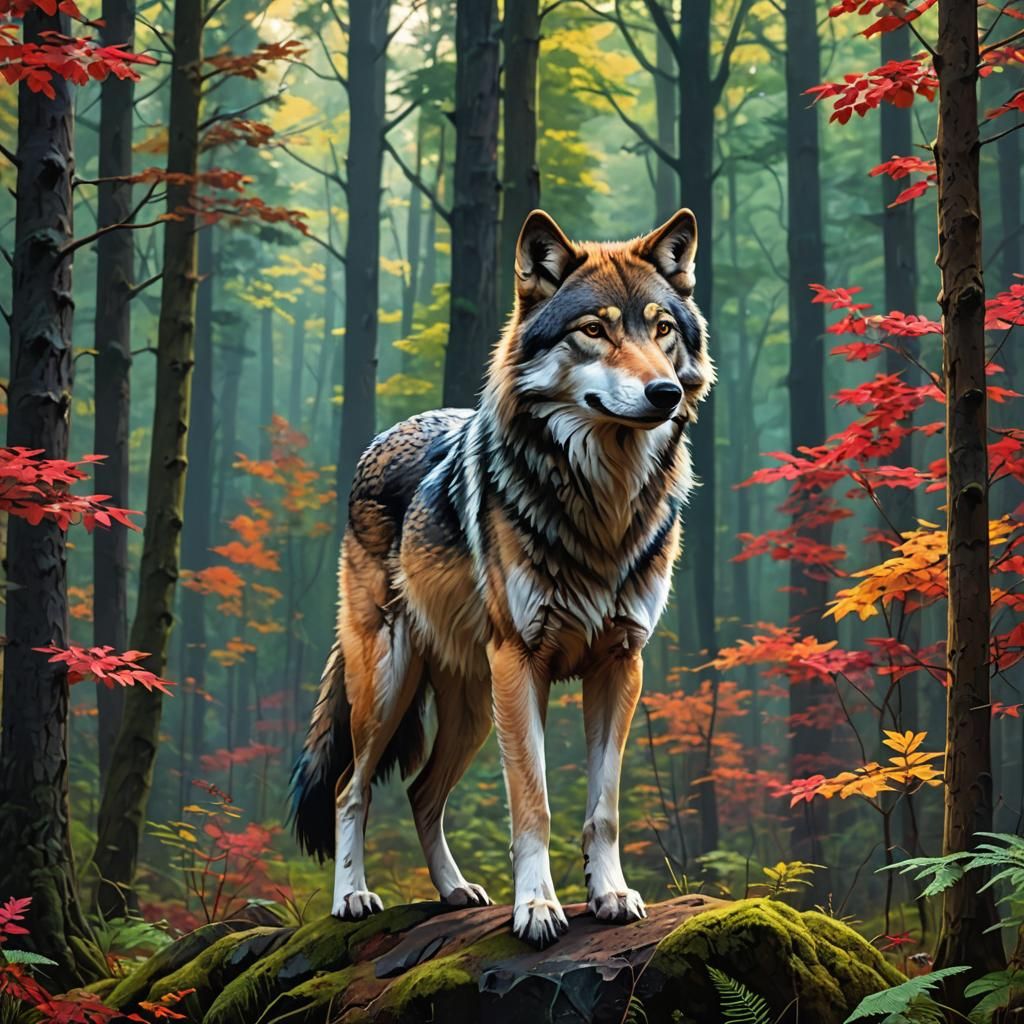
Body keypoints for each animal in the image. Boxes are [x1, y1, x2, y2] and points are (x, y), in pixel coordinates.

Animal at [292, 208, 714, 947]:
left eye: (662, 328)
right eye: (595, 329)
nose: (663, 392)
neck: (603, 504)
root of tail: (382, 438)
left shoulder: (621, 663)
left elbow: (603, 807)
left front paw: (610, 894)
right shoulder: (523, 663)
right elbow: (533, 804)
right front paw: (538, 908)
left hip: (471, 708)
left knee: (421, 792)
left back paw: (455, 892)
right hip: (391, 683)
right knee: (352, 787)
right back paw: (353, 897)